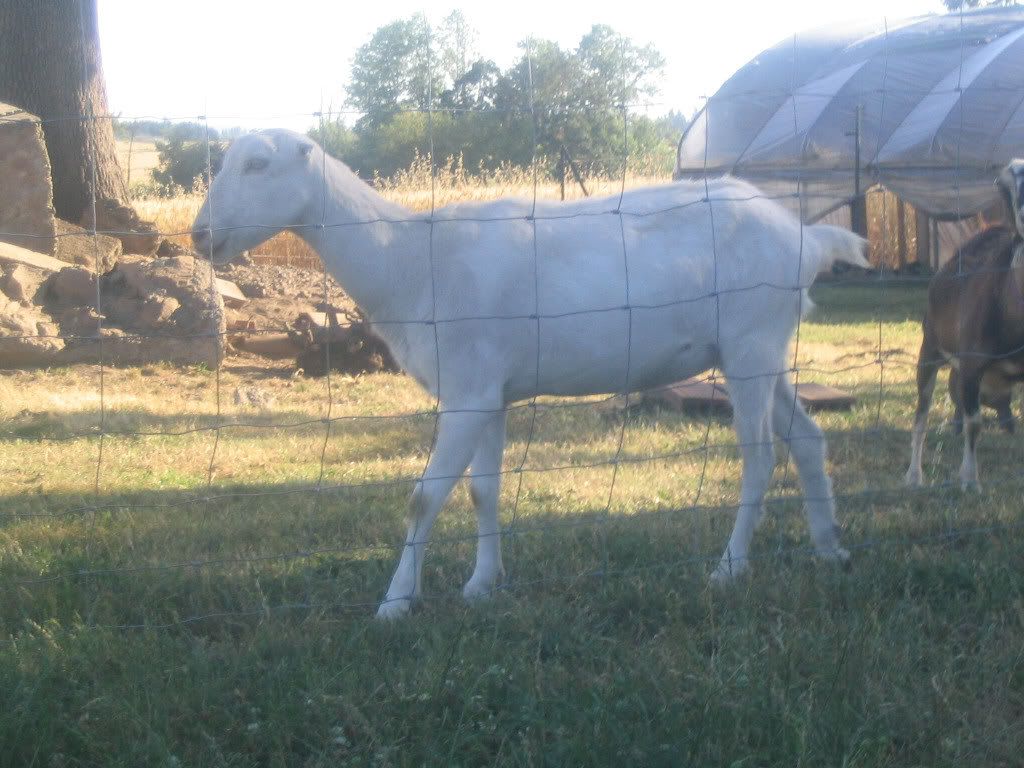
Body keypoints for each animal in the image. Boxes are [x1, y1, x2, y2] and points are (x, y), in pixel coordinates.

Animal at [193, 130, 867, 619]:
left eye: (257, 164)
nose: (200, 236)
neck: (410, 259)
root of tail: (806, 238)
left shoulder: (466, 390)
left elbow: (424, 496)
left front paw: (395, 603)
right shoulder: (489, 390)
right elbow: (482, 491)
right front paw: (482, 584)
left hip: (751, 341)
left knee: (760, 455)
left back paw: (729, 568)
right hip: (762, 347)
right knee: (807, 440)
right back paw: (829, 547)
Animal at [905, 159, 1024, 489]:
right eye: (1007, 182)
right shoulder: (972, 364)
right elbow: (974, 424)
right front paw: (970, 481)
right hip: (930, 349)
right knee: (922, 414)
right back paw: (914, 476)